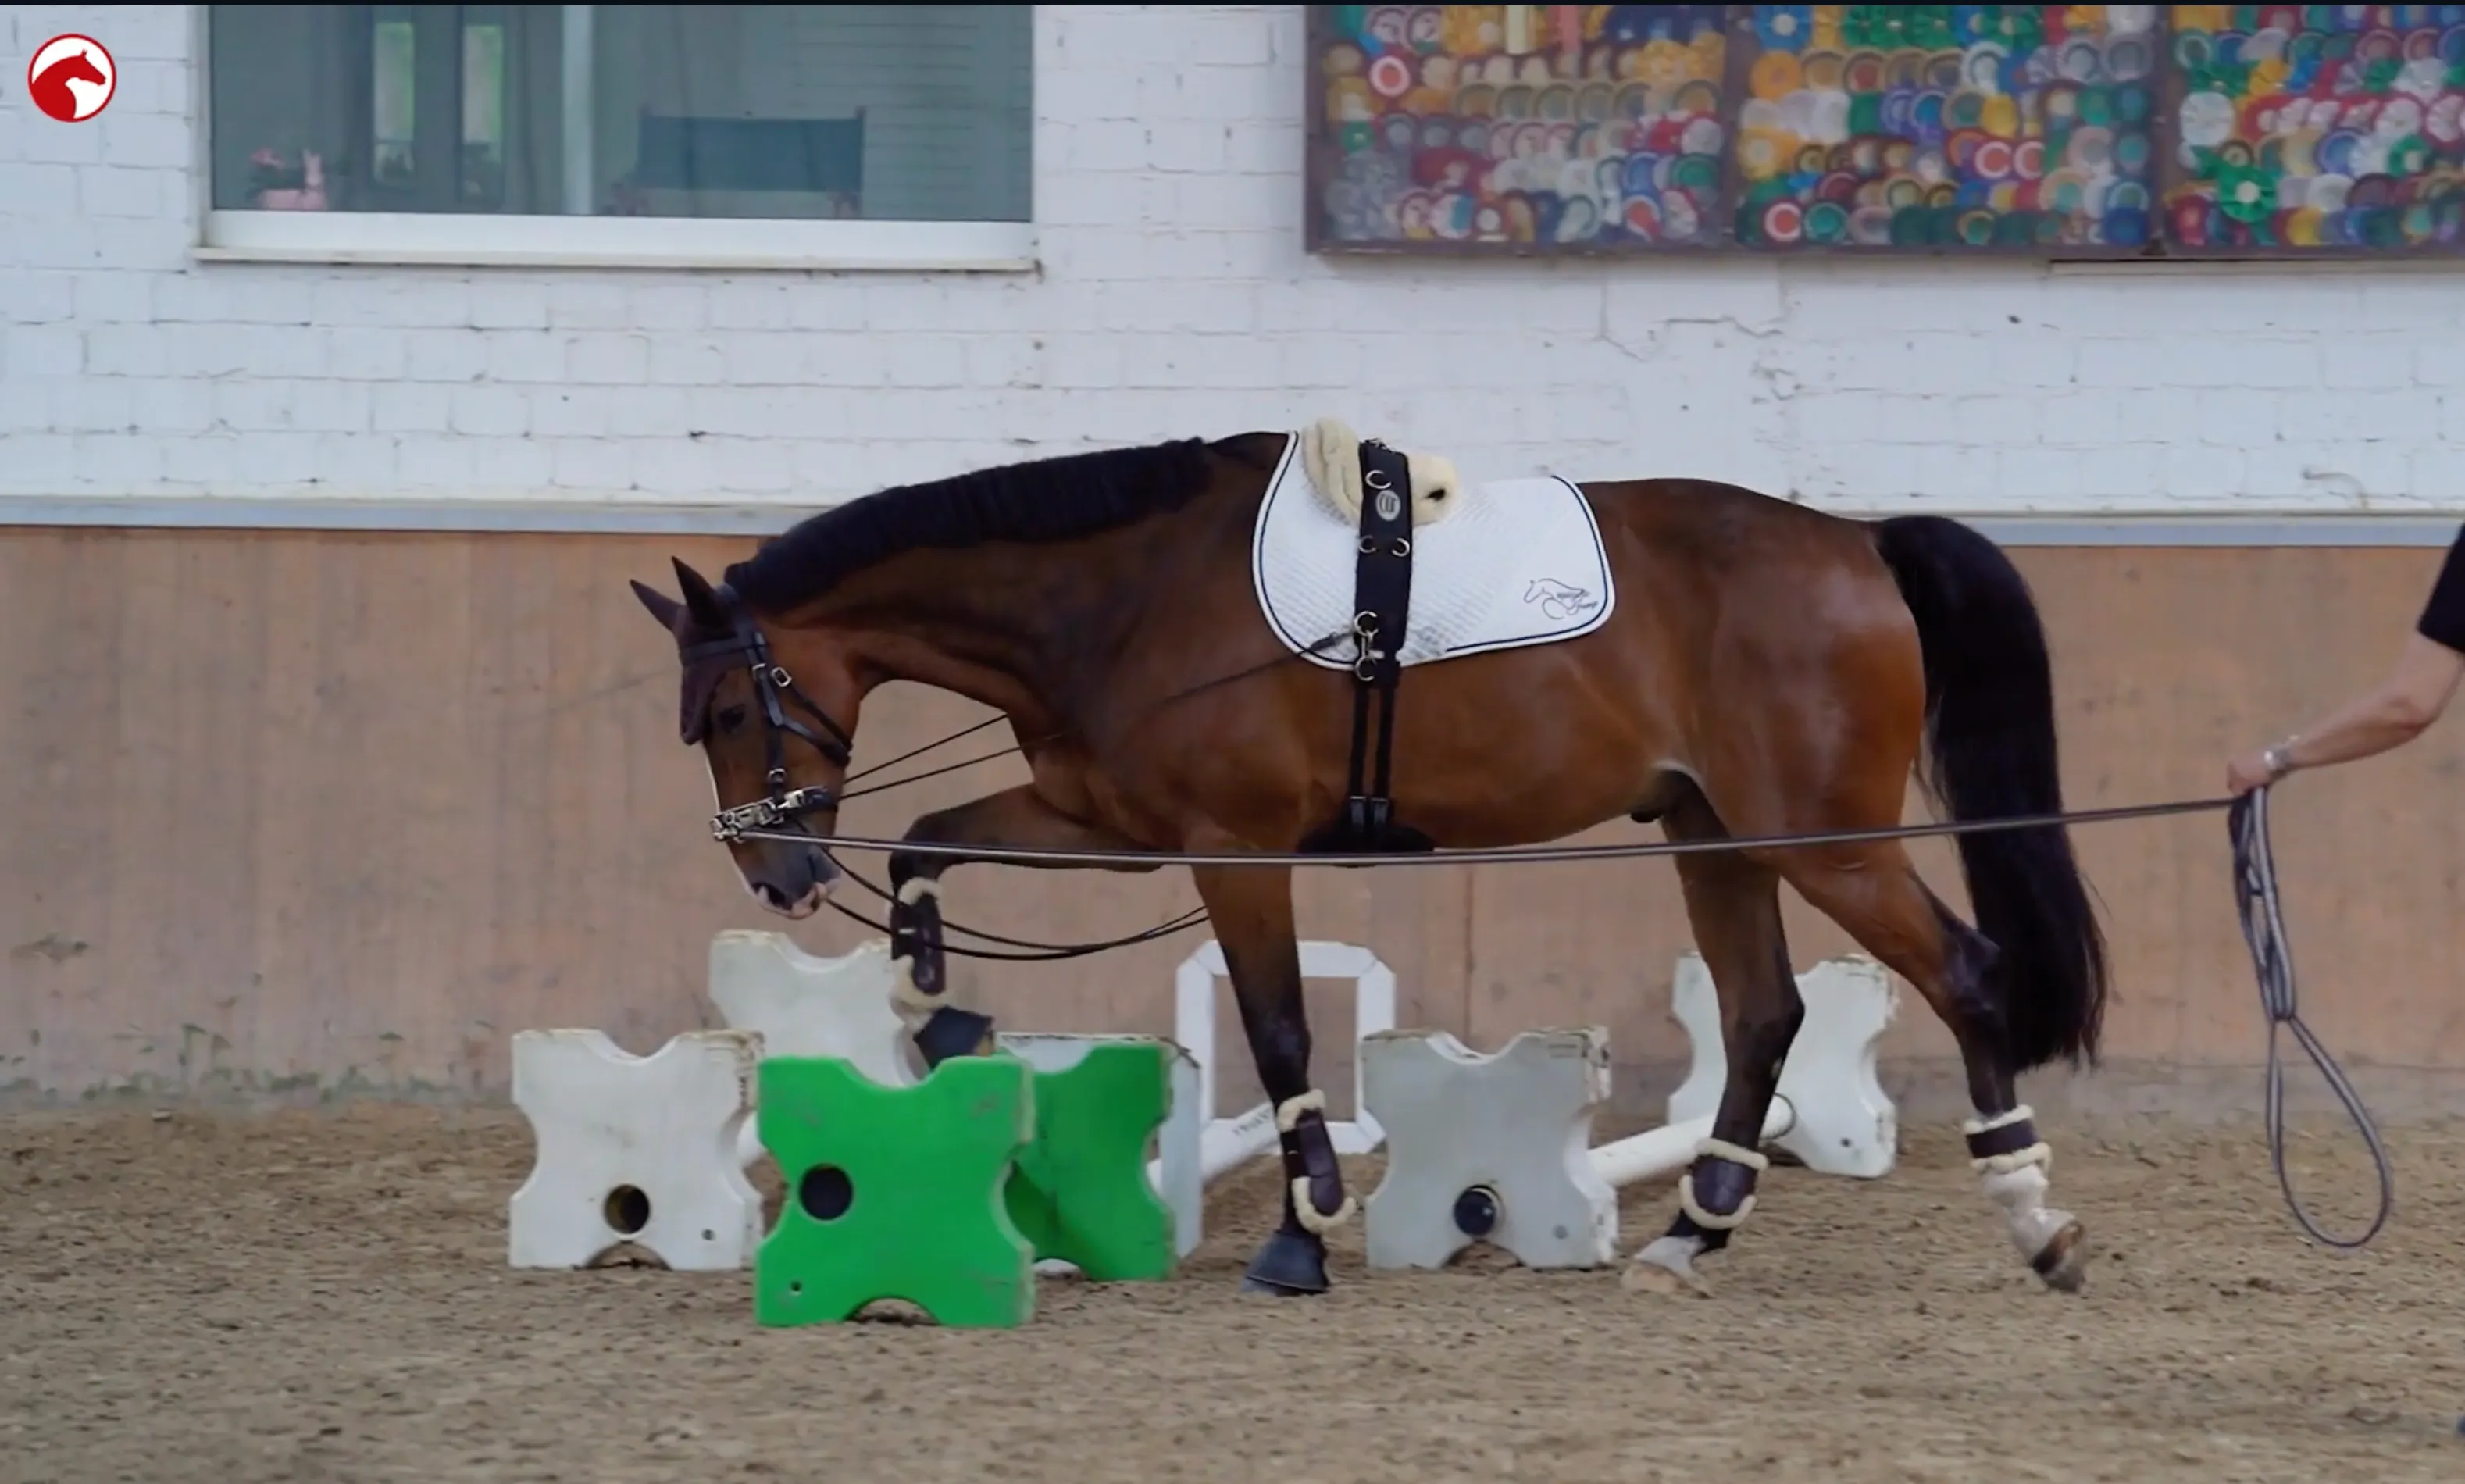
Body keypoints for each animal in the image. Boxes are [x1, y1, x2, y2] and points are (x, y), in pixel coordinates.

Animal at [628, 426, 2109, 1300]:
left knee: (1965, 974)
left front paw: (1305, 1227)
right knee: (1763, 1016)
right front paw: (933, 1005)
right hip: (1723, 836)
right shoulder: (1107, 824)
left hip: (1831, 843)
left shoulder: (1230, 852)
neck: (1124, 595)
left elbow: (1281, 1026)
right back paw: (1694, 1234)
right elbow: (931, 844)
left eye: (727, 713)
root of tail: (1857, 542)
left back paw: (2033, 1216)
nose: (775, 877)